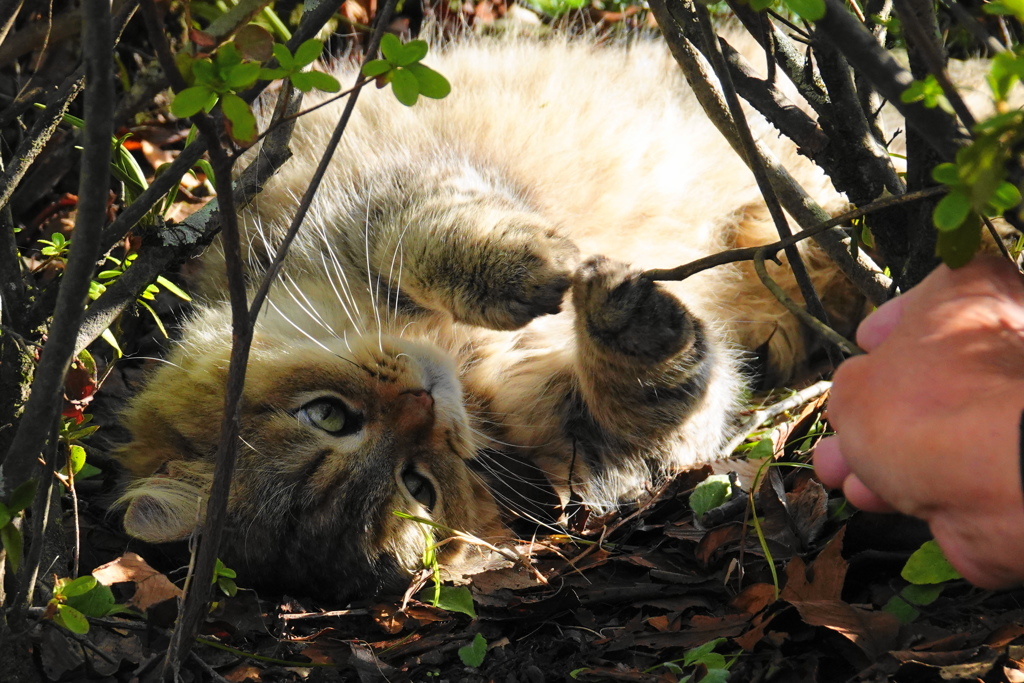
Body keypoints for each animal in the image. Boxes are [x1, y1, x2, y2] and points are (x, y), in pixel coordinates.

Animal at [116, 34, 860, 602]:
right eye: (418, 484)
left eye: (325, 414)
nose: (425, 400)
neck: (469, 365)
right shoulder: (602, 449)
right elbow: (661, 393)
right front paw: (625, 322)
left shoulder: (372, 200)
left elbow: (436, 234)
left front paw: (534, 269)